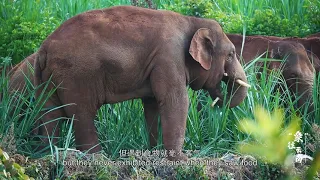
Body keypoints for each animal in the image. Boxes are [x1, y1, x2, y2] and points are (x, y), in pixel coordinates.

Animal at [35, 5, 250, 160]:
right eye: (231, 54)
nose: (220, 94)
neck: (191, 21)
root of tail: (44, 48)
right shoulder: (168, 57)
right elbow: (175, 101)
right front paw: (181, 160)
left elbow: (152, 104)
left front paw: (154, 152)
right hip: (77, 75)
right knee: (82, 113)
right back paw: (98, 158)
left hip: (49, 79)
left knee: (50, 113)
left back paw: (47, 153)